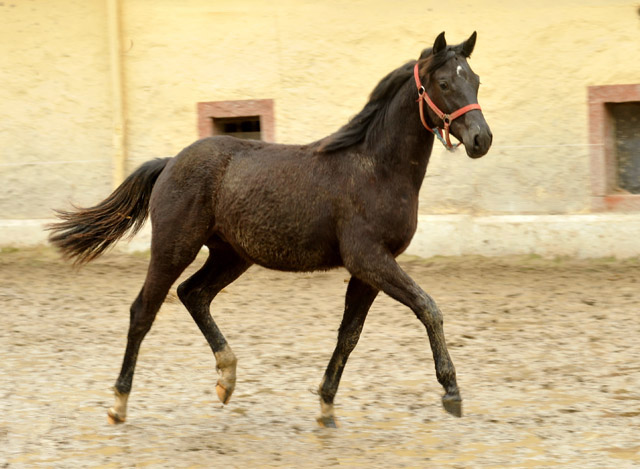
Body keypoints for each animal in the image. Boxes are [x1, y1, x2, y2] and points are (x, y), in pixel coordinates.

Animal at [47, 32, 492, 428]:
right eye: (444, 82)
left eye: (475, 79)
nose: (480, 139)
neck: (376, 169)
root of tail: (171, 160)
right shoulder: (369, 258)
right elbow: (428, 308)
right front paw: (451, 392)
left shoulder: (369, 269)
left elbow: (349, 334)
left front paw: (326, 406)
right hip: (175, 246)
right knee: (144, 310)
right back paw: (119, 403)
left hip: (231, 255)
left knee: (193, 294)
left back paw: (226, 378)